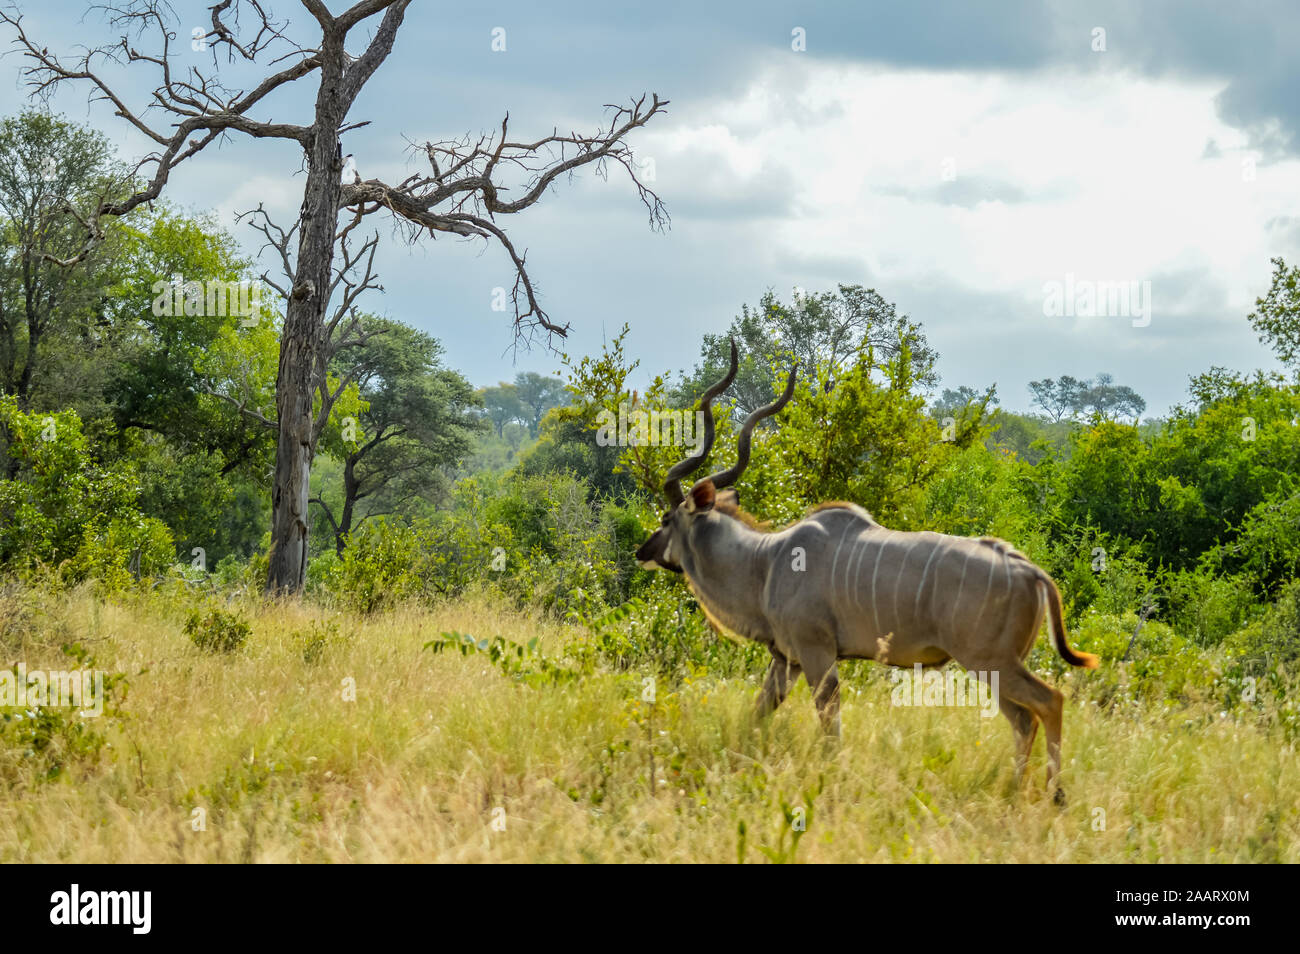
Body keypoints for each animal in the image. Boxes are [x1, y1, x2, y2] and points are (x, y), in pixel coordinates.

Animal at [637, 348, 1097, 805]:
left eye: (665, 518)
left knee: (1049, 702)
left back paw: (1054, 794)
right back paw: (1017, 790)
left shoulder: (817, 653)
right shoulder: (786, 659)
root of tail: (1030, 570)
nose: (643, 552)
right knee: (1023, 719)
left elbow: (829, 724)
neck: (765, 562)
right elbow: (760, 711)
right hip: (996, 667)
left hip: (991, 662)